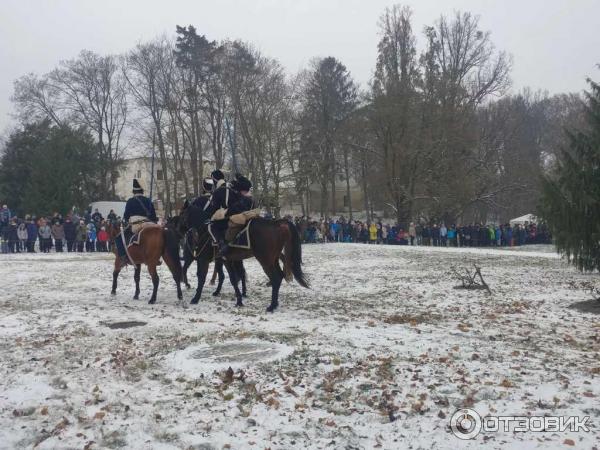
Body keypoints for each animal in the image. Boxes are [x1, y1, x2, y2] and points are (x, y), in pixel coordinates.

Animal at [180, 206, 308, 312]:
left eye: (182, 214)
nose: (180, 230)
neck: (204, 231)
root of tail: (277, 224)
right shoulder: (226, 260)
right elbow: (232, 278)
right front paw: (239, 300)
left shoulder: (204, 260)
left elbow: (202, 278)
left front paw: (195, 298)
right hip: (273, 259)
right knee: (279, 276)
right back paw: (275, 304)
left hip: (265, 261)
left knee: (275, 278)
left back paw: (271, 306)